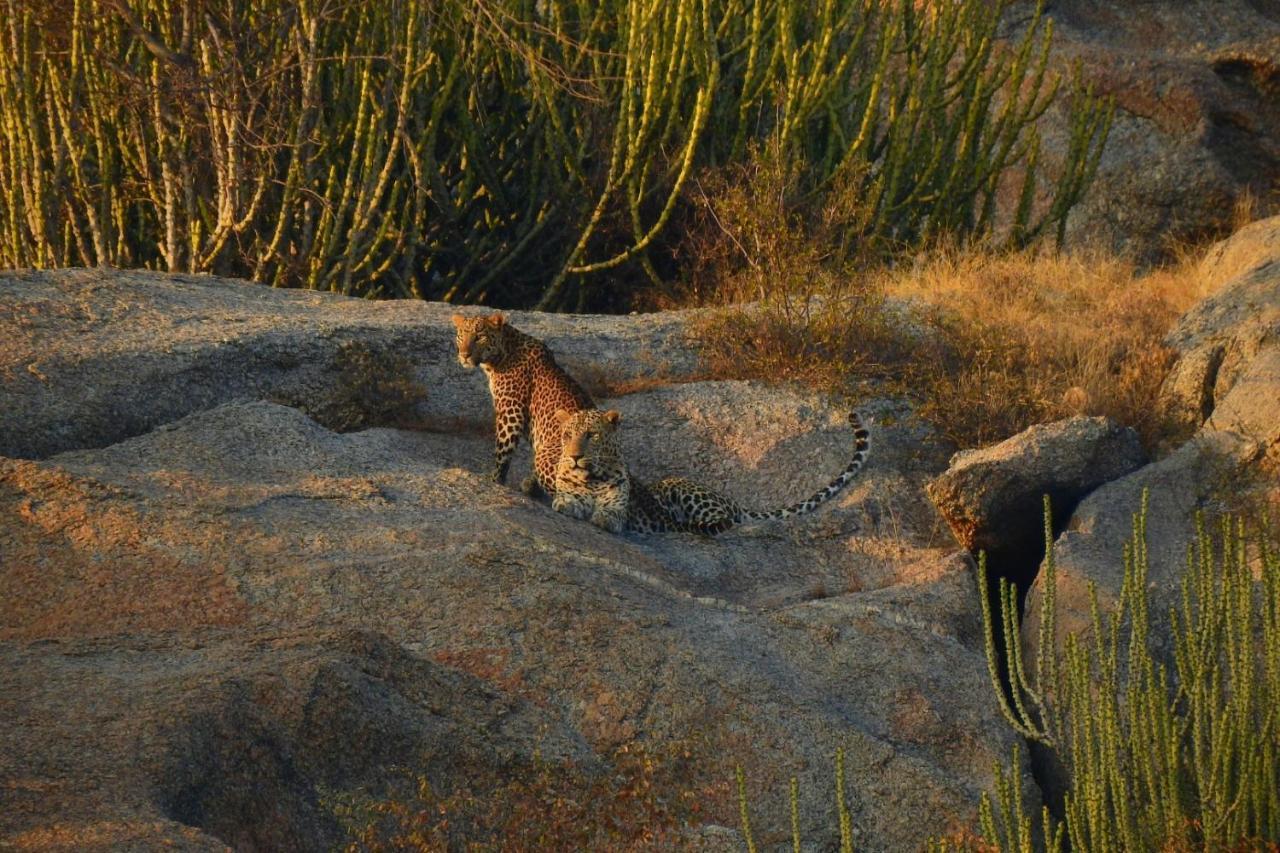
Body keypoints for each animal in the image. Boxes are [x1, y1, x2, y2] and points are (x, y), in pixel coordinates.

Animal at [453, 313, 591, 494]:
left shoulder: (511, 412)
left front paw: (494, 480)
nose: (464, 355)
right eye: (461, 335)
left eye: (480, 337)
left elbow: (502, 452)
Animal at [550, 404, 870, 532]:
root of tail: (732, 501)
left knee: (725, 521)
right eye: (567, 435)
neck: (592, 477)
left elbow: (610, 512)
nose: (575, 456)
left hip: (681, 487)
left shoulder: (619, 507)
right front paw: (566, 504)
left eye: (592, 436)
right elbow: (567, 498)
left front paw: (601, 517)